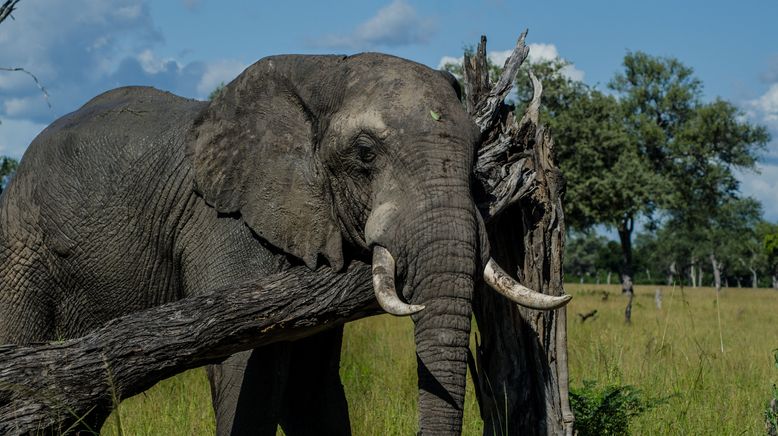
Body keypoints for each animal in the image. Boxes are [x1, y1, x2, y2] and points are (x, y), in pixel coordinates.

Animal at [0, 52, 568, 434]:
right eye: (365, 154)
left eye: (476, 150)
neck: (318, 73)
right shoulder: (226, 223)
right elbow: (244, 368)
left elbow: (310, 386)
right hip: (19, 251)